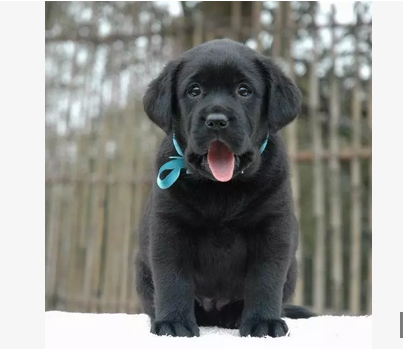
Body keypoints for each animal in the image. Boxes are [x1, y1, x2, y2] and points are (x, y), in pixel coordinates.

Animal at [136, 38, 316, 338]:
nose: (217, 120)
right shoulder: (168, 225)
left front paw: (263, 322)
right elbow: (172, 277)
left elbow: (265, 278)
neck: (222, 189)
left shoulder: (273, 226)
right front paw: (173, 322)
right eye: (194, 90)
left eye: (244, 91)